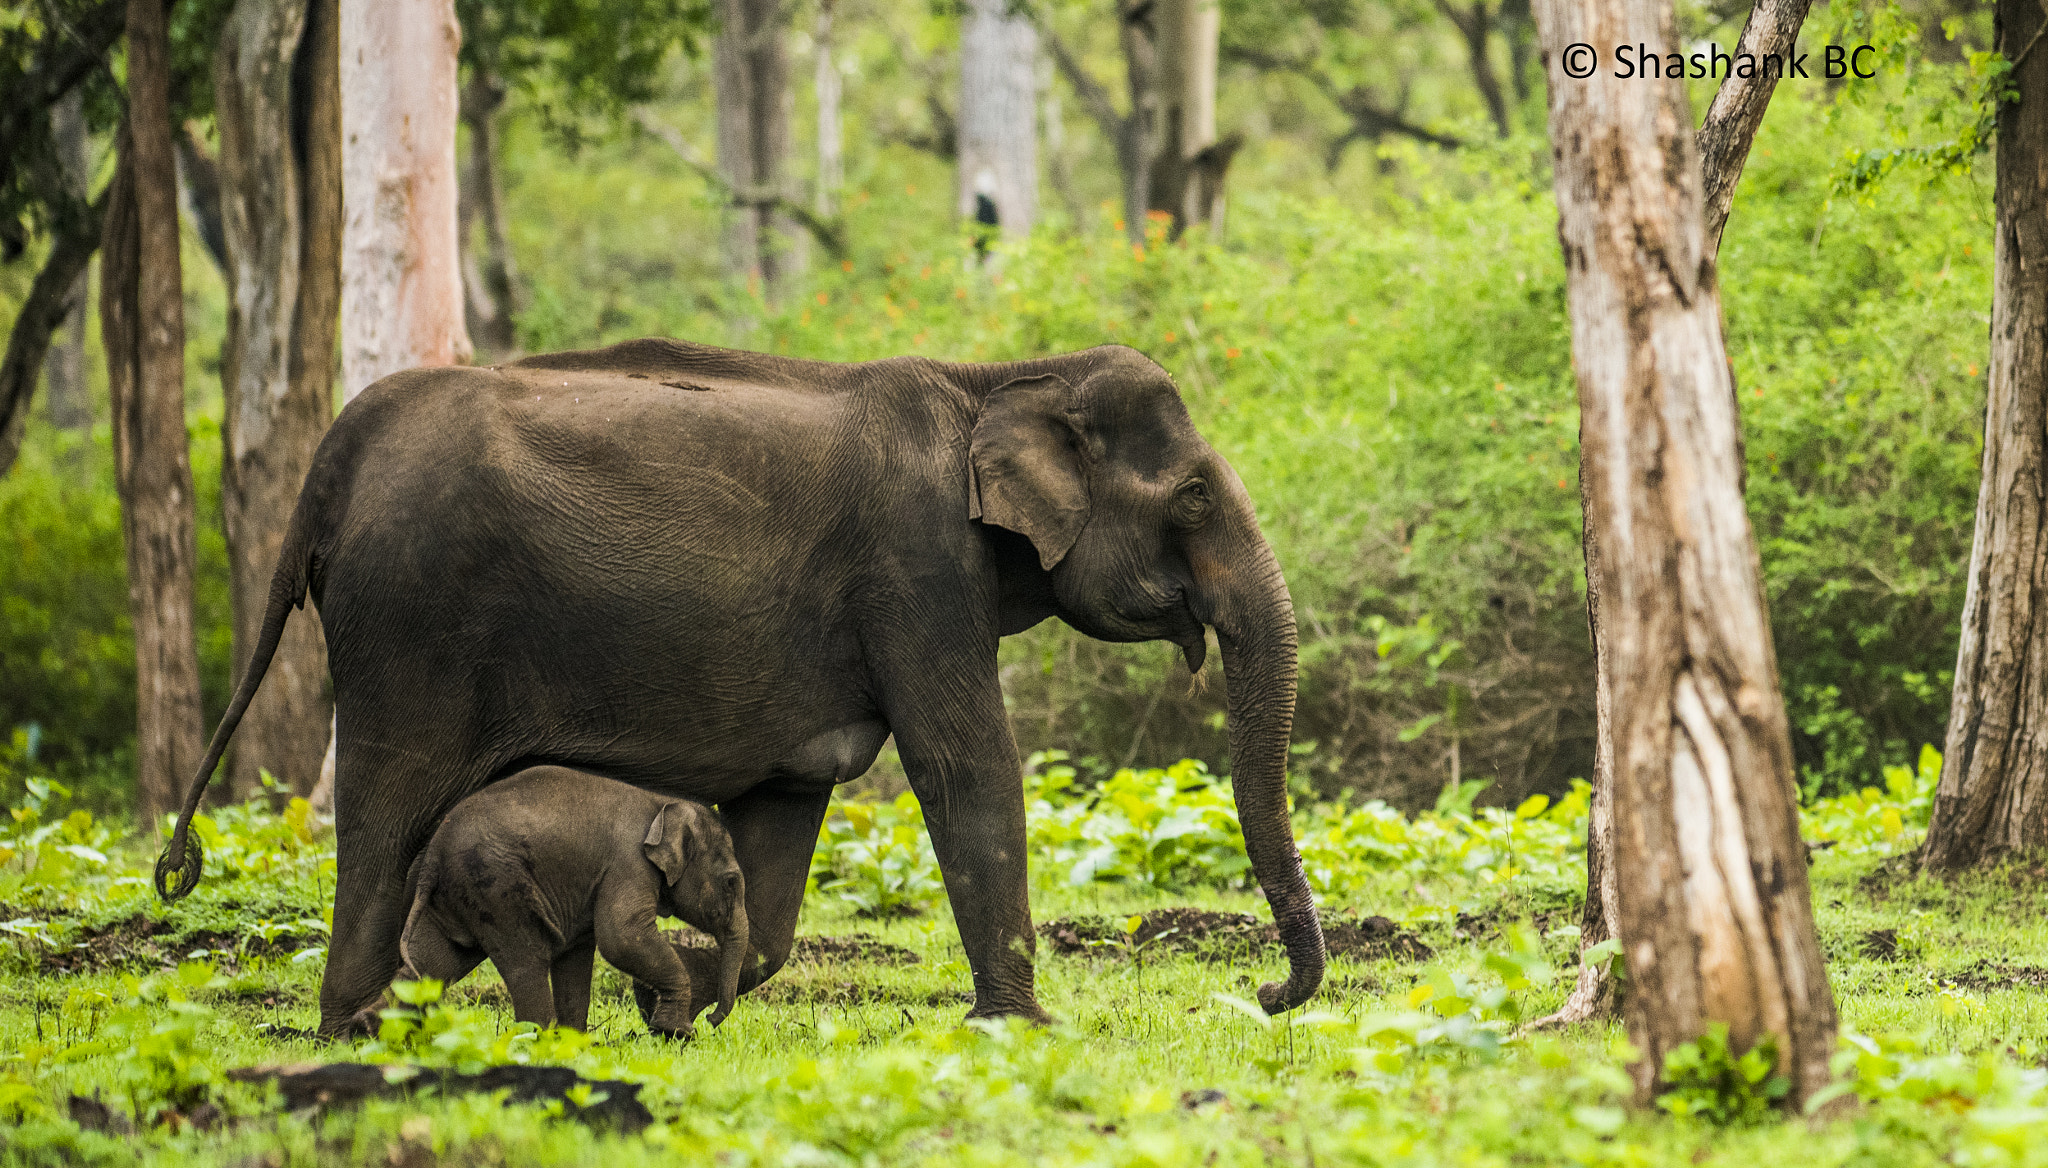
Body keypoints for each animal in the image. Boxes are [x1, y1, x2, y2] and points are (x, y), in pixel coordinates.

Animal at [395, 762, 749, 1036]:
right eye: (731, 882)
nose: (710, 1020)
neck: (662, 802)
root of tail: (434, 852)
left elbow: (577, 953)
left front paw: (577, 1045)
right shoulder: (628, 864)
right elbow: (621, 937)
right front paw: (678, 1032)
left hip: (456, 895)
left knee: (432, 963)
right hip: (495, 888)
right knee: (526, 961)